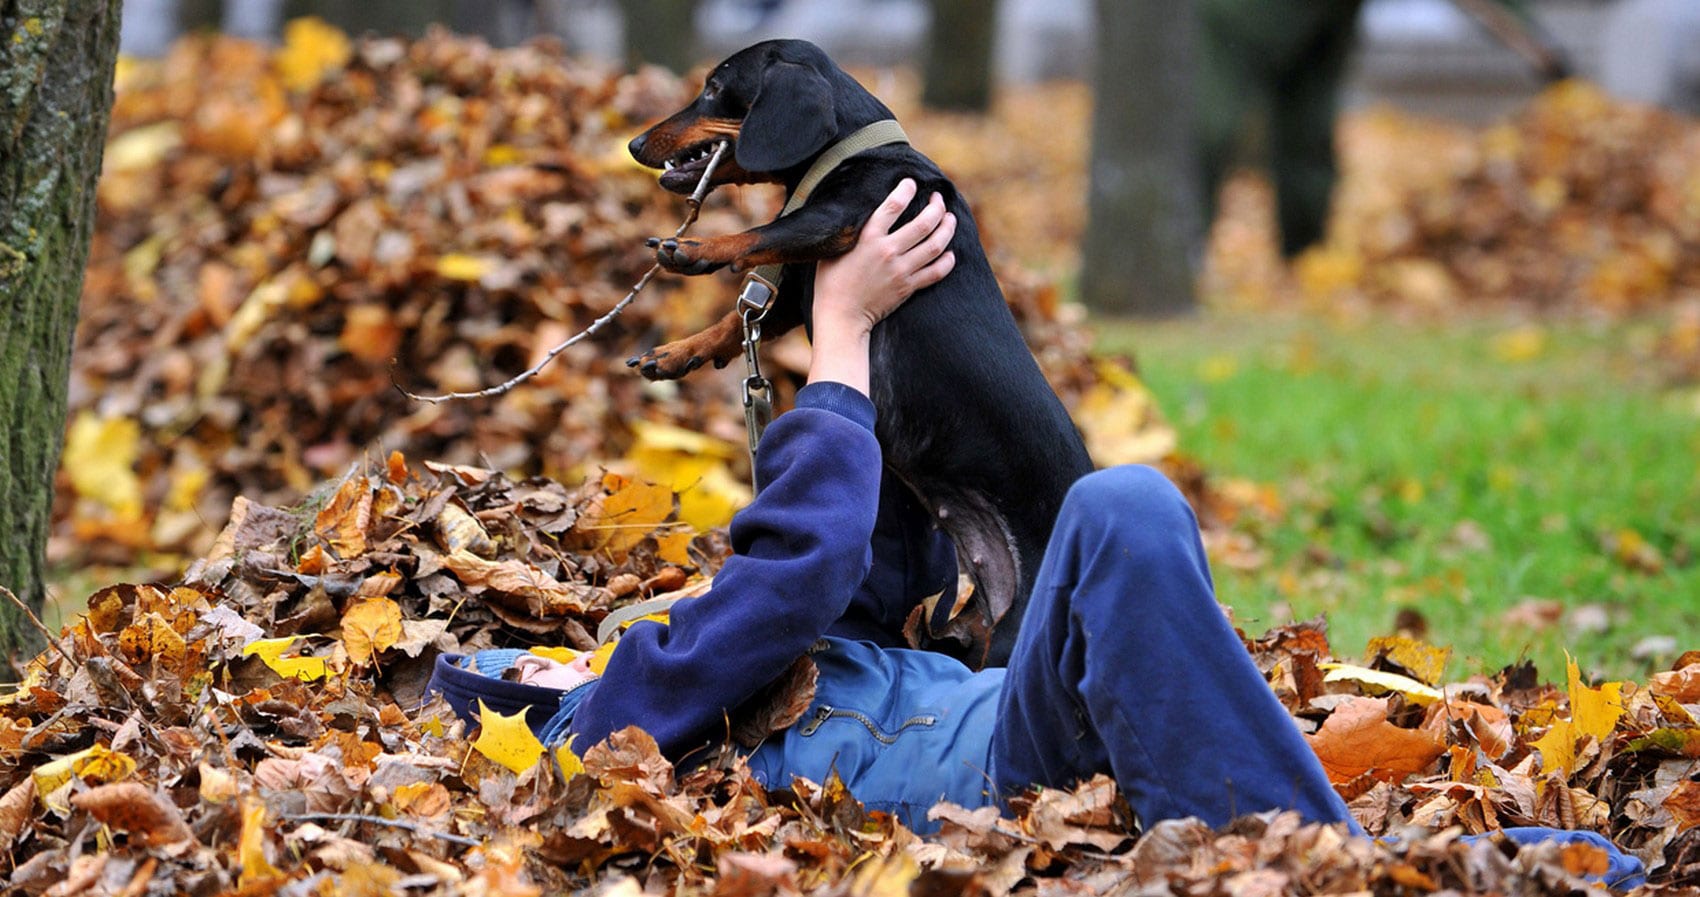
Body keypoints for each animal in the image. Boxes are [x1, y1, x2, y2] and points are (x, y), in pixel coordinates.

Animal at [625, 38, 1088, 665]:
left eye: (715, 88)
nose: (634, 145)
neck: (851, 152)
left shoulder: (840, 219)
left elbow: (763, 233)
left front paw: (697, 248)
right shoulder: (799, 288)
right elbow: (738, 316)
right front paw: (677, 353)